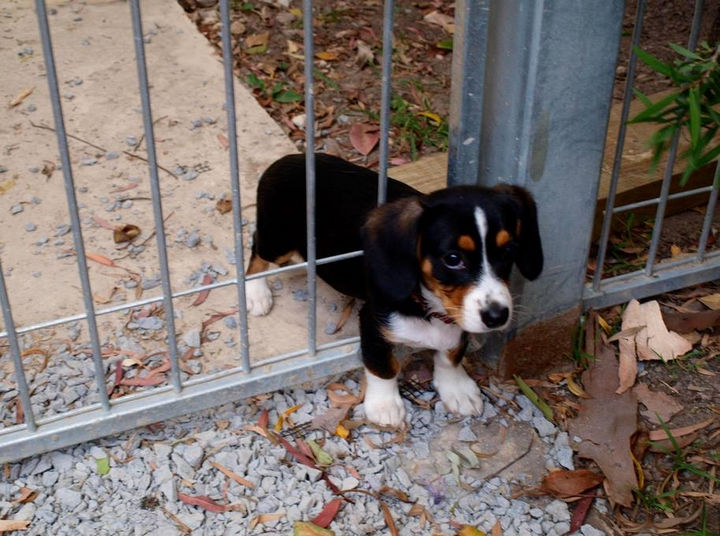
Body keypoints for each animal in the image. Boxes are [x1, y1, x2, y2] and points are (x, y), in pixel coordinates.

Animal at [245, 154, 544, 428]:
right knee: (256, 249)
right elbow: (383, 366)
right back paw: (256, 292)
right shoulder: (373, 322)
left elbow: (451, 354)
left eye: (509, 251)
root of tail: (289, 159)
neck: (428, 303)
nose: (497, 317)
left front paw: (457, 389)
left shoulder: (458, 316)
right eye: (452, 259)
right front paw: (384, 406)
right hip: (277, 239)